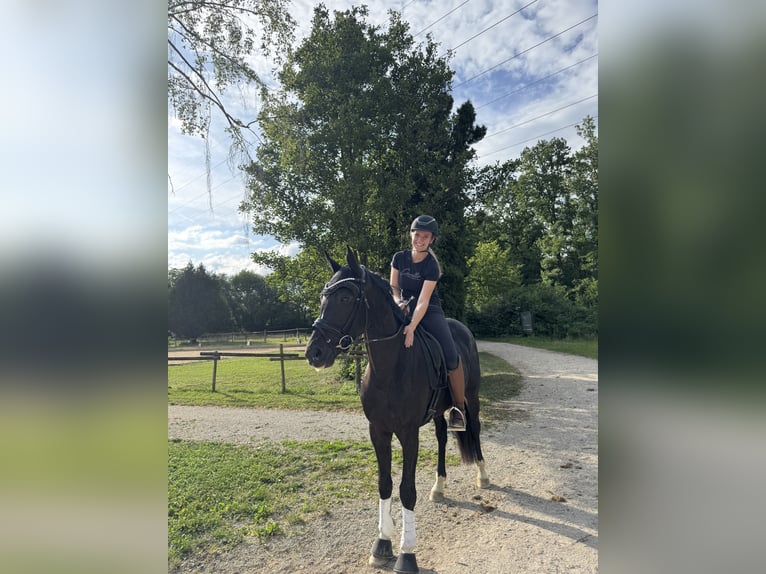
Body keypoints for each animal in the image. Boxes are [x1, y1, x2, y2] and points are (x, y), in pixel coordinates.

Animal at [305, 247, 489, 574]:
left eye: (345, 298)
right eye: (323, 297)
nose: (314, 352)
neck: (390, 367)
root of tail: (462, 329)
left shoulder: (407, 433)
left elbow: (406, 490)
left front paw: (407, 553)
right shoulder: (378, 431)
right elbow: (384, 484)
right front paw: (382, 544)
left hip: (471, 397)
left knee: (475, 428)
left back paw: (482, 474)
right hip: (439, 412)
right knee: (442, 436)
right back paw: (439, 487)